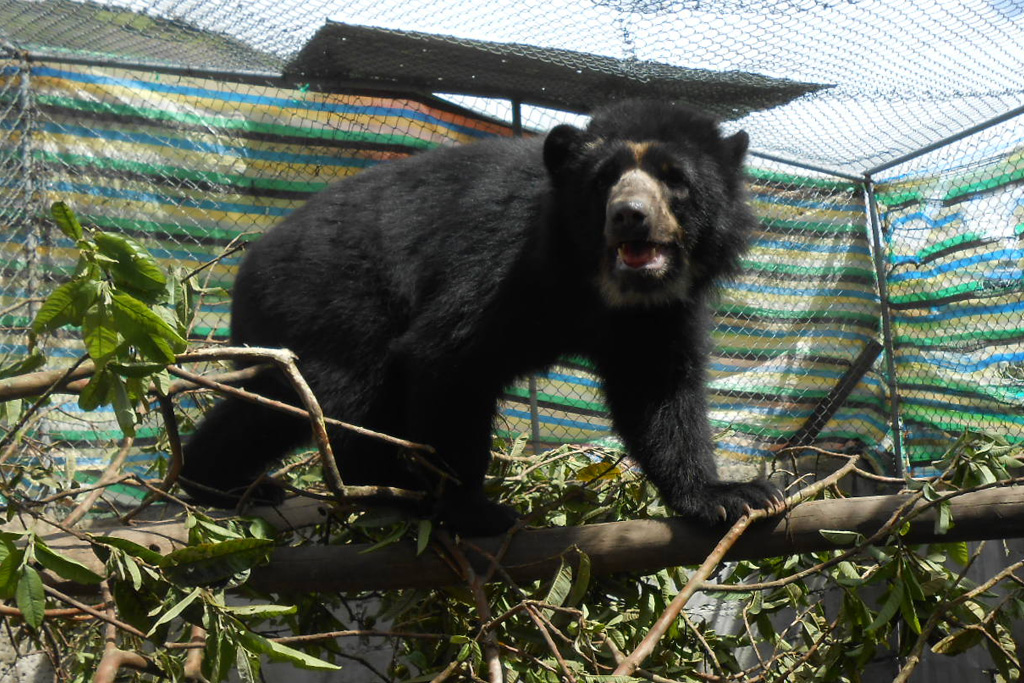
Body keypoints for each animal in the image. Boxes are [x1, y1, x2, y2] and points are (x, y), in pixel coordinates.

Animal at [179, 99, 784, 536]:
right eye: (605, 180)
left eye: (673, 177)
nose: (629, 216)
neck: (598, 285)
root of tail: (247, 266)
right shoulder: (502, 267)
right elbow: (450, 360)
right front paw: (474, 509)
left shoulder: (658, 314)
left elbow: (658, 393)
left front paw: (730, 497)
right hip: (329, 303)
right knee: (334, 395)